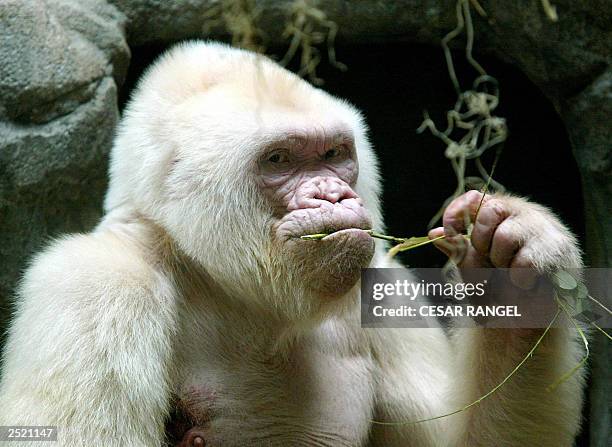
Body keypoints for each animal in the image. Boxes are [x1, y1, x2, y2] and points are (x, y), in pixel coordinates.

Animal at [0, 40, 584, 446]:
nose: (332, 194)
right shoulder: (96, 286)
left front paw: (507, 273)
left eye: (332, 154)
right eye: (278, 160)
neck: (218, 278)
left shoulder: (383, 285)